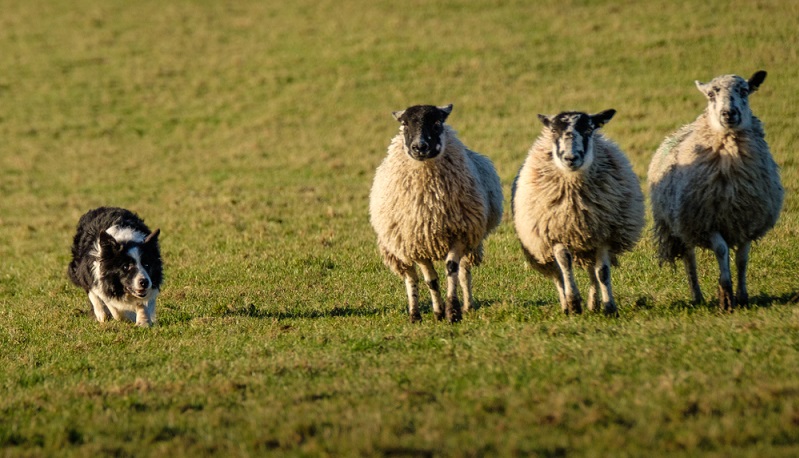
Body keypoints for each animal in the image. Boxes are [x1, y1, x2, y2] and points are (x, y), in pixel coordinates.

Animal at [368, 105, 500, 324]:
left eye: (437, 122)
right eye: (405, 124)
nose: (419, 147)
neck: (430, 203)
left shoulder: (460, 233)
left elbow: (451, 269)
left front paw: (452, 311)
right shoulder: (417, 244)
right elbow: (431, 280)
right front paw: (438, 311)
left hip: (471, 242)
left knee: (464, 271)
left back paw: (467, 306)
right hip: (398, 248)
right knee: (411, 277)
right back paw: (414, 314)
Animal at [512, 109, 648, 314]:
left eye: (589, 129)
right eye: (553, 130)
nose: (571, 158)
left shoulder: (602, 234)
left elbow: (602, 272)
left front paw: (609, 306)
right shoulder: (555, 233)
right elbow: (565, 265)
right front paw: (574, 302)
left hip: (588, 244)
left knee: (592, 271)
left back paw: (594, 303)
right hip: (543, 248)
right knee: (558, 275)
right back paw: (566, 306)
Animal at [648, 70, 784, 310]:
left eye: (744, 91)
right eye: (711, 94)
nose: (728, 113)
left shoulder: (746, 222)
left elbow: (742, 259)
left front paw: (741, 296)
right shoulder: (707, 222)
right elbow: (721, 251)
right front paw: (726, 295)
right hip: (681, 224)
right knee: (690, 259)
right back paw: (698, 296)